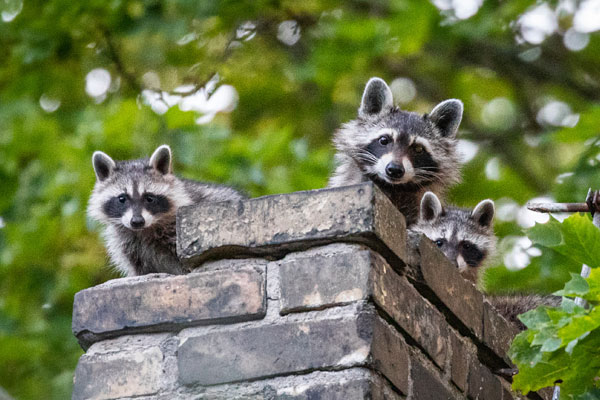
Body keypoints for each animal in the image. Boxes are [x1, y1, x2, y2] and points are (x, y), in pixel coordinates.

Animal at [86, 145, 244, 278]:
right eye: (122, 198)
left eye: (149, 198)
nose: (137, 221)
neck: (144, 230)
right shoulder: (129, 246)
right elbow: (141, 270)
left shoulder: (176, 234)